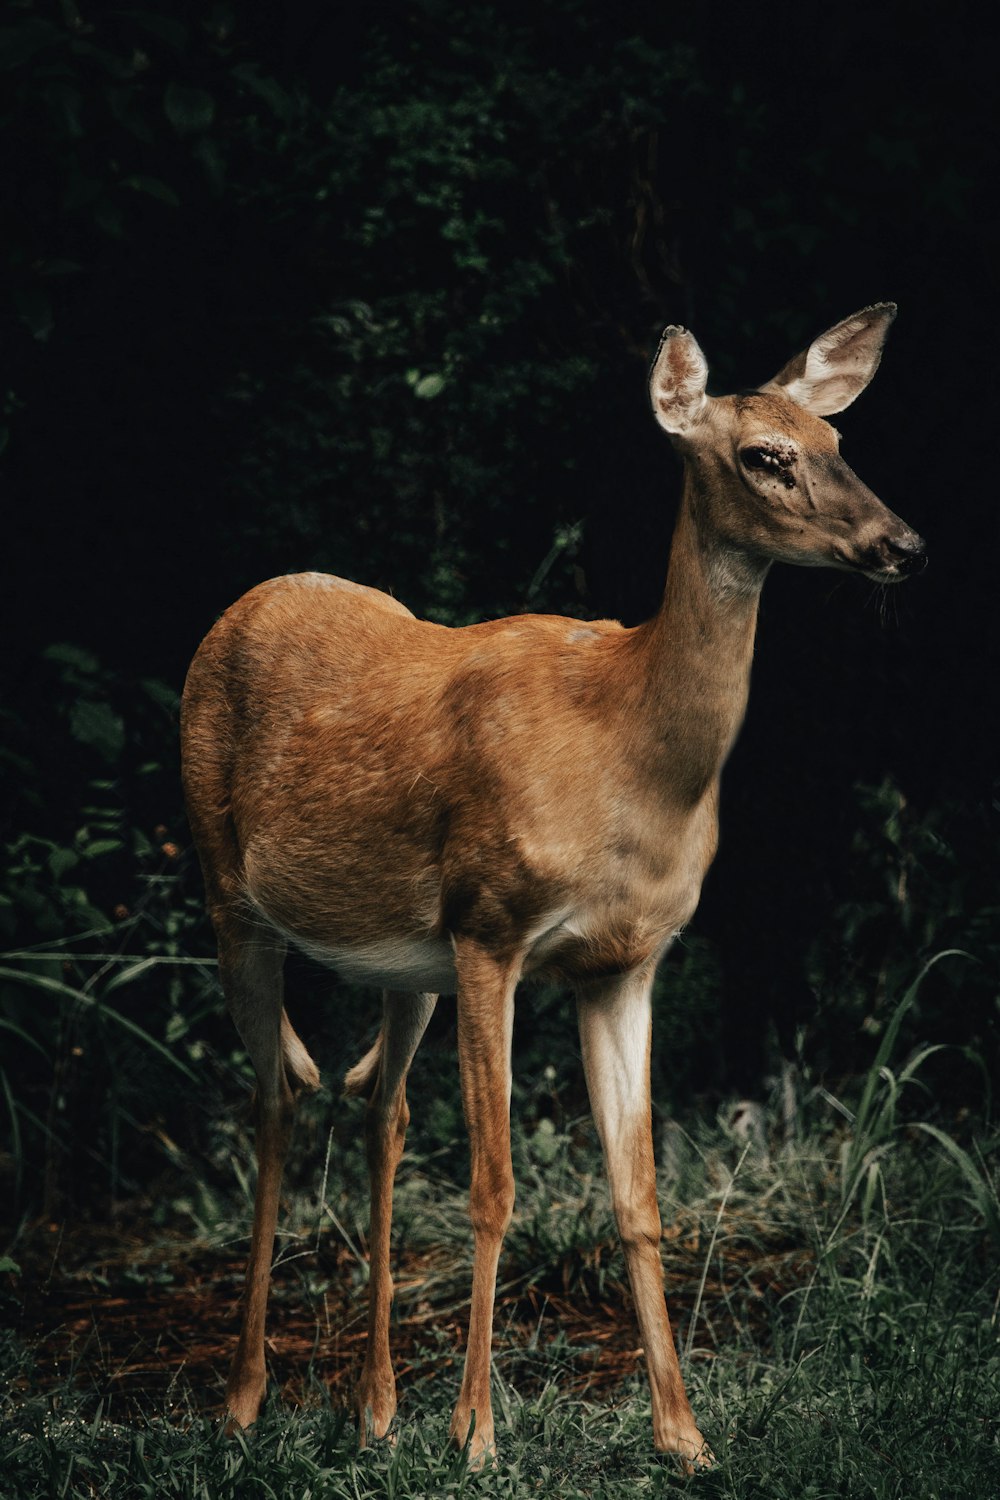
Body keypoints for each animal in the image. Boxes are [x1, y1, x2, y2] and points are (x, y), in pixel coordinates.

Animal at [179, 301, 923, 1464]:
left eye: (839, 438)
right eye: (765, 456)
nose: (902, 545)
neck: (628, 749)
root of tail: (244, 602)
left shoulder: (625, 963)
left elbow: (641, 1196)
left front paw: (683, 1437)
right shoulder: (493, 927)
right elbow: (493, 1188)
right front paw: (476, 1434)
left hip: (404, 962)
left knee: (376, 1100)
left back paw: (374, 1406)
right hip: (229, 893)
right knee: (278, 1092)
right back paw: (248, 1398)